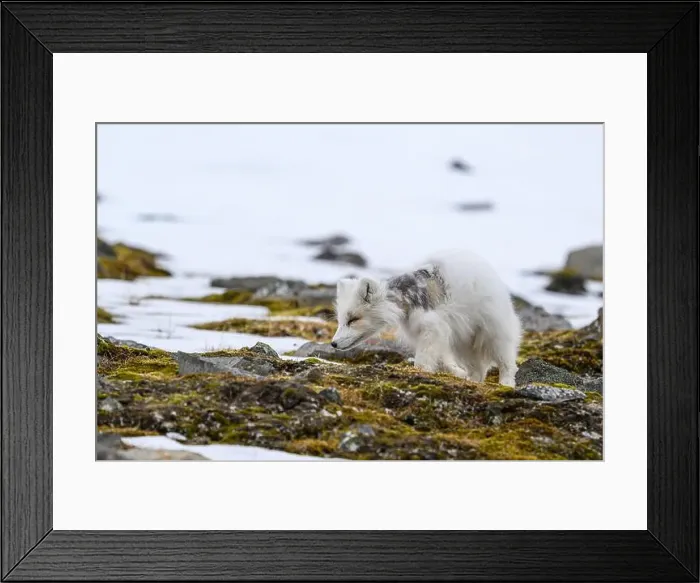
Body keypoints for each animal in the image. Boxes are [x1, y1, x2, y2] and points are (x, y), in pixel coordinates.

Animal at [331, 249, 521, 386]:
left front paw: (420, 372)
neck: (406, 300)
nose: (333, 344)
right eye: (340, 320)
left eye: (353, 319)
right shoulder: (433, 333)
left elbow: (423, 359)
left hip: (492, 332)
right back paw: (472, 381)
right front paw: (456, 372)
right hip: (464, 341)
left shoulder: (433, 328)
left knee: (507, 363)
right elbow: (441, 359)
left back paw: (506, 384)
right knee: (479, 369)